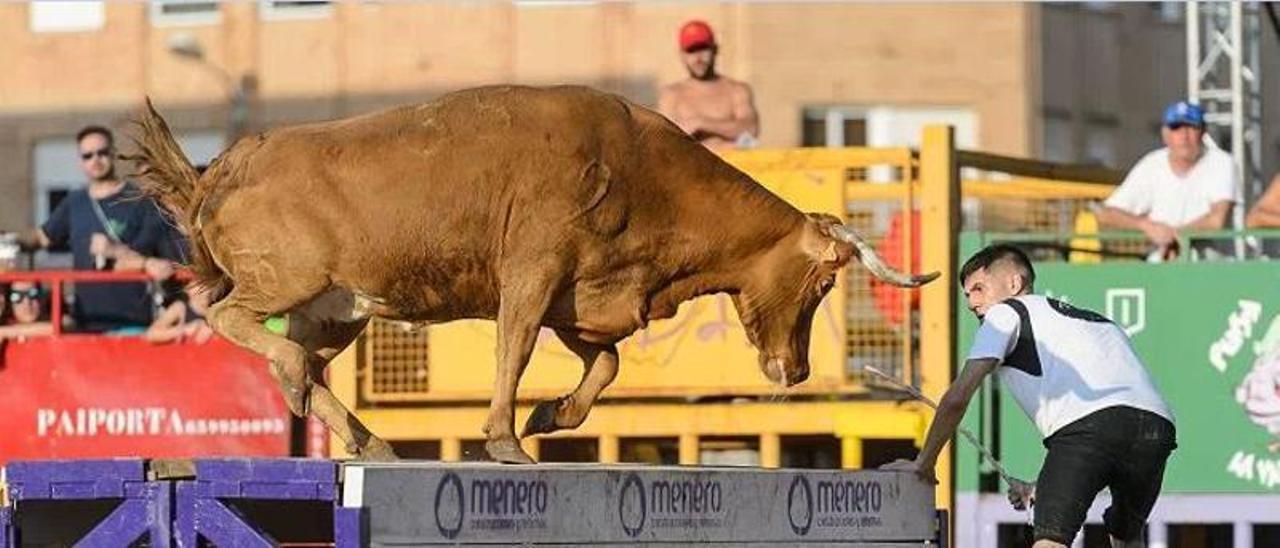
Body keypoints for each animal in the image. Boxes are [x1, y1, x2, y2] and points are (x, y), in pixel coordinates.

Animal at [132, 84, 942, 463]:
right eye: (823, 283)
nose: (796, 370)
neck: (639, 172)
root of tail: (224, 165)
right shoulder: (532, 273)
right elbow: (513, 351)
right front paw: (504, 436)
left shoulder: (581, 298)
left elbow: (605, 363)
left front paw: (552, 415)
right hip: (290, 281)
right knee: (231, 318)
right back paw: (313, 388)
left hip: (339, 309)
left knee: (297, 360)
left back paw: (364, 436)